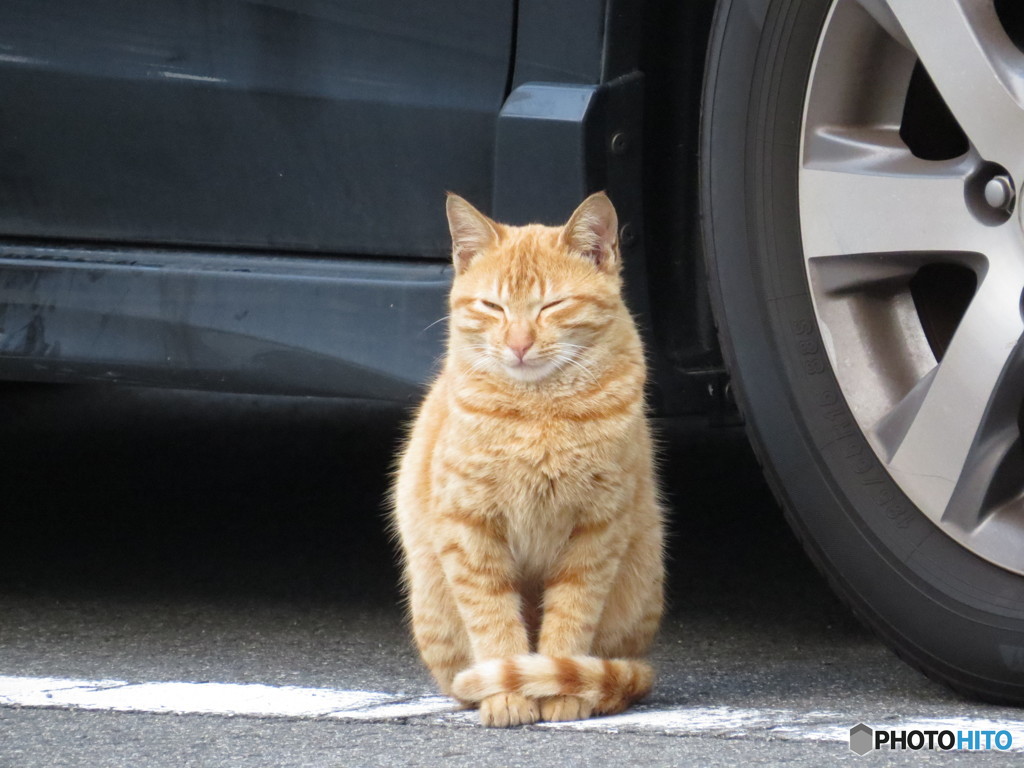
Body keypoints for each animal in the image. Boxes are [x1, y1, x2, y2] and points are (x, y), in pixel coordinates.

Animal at [389, 191, 663, 729]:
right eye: (492, 306)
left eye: (553, 305)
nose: (518, 344)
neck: (540, 409)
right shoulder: (470, 527)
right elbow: (493, 620)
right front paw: (508, 696)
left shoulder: (596, 529)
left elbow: (570, 618)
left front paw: (561, 692)